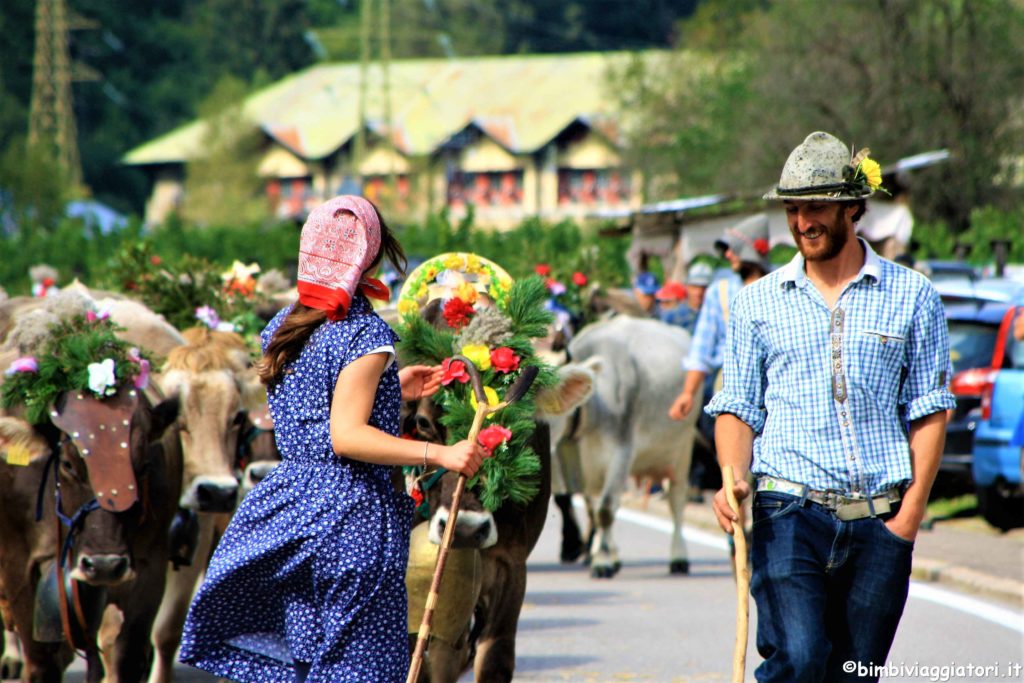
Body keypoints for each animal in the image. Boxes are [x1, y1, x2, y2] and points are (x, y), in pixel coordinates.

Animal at [552, 315, 704, 577]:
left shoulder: (622, 452)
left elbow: (604, 510)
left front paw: (602, 562)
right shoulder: (586, 465)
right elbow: (595, 508)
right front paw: (604, 556)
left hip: (682, 450)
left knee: (676, 501)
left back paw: (679, 558)